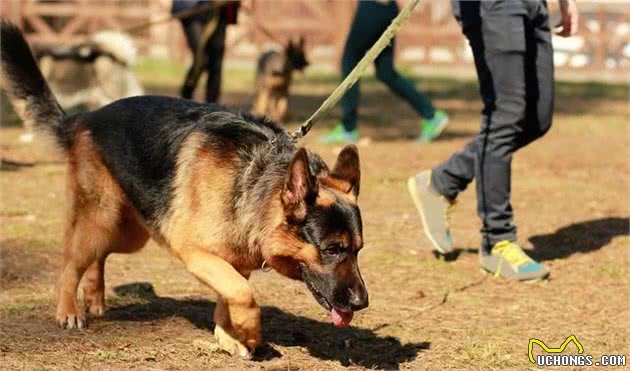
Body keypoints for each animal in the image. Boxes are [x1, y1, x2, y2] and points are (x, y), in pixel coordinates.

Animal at [0, 21, 368, 358]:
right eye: (332, 249)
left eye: (358, 250)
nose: (362, 303)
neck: (252, 175)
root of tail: (86, 117)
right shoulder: (194, 252)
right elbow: (242, 294)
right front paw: (249, 332)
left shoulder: (233, 261)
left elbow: (229, 297)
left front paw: (228, 337)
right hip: (100, 219)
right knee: (69, 264)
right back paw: (68, 310)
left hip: (130, 233)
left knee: (98, 255)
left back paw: (94, 296)